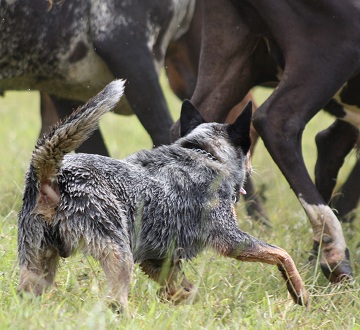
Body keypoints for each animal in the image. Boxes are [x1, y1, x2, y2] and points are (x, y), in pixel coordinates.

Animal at [16, 79, 308, 310]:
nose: (252, 168)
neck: (206, 153)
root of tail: (52, 175)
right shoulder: (231, 239)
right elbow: (282, 253)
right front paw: (300, 293)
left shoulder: (159, 261)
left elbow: (187, 291)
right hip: (119, 254)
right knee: (114, 304)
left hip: (37, 266)